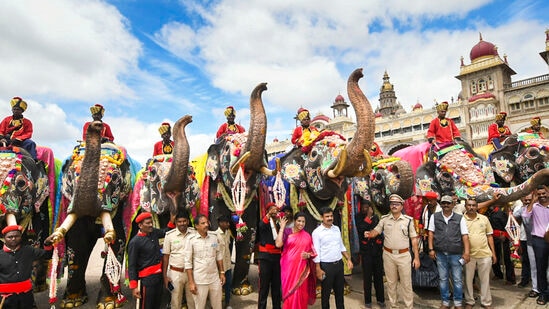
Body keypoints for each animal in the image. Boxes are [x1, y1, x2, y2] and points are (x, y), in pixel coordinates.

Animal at [49, 121, 139, 308]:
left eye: (114, 179)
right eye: (70, 178)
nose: (96, 124)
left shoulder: (121, 202)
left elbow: (118, 239)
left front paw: (108, 304)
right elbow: (78, 241)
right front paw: (72, 302)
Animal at [199, 83, 274, 294]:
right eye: (227, 149)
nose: (265, 86)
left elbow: (248, 233)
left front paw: (242, 290)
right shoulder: (213, 190)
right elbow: (215, 226)